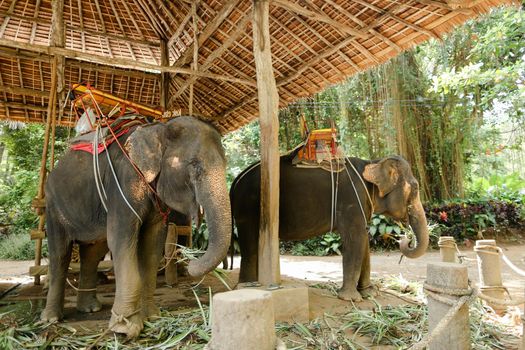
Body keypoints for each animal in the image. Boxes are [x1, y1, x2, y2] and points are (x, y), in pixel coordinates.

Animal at [41, 116, 229, 338]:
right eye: (194, 165)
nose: (190, 263)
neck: (157, 128)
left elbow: (152, 246)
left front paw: (152, 318)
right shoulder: (124, 183)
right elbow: (120, 238)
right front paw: (124, 329)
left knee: (93, 253)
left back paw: (90, 308)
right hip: (53, 206)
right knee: (60, 254)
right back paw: (51, 318)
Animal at [231, 154, 428, 302]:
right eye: (416, 188)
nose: (406, 238)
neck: (372, 162)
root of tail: (236, 179)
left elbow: (363, 239)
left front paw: (369, 293)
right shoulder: (351, 200)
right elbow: (355, 238)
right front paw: (350, 299)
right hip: (248, 205)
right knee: (249, 242)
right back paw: (248, 287)